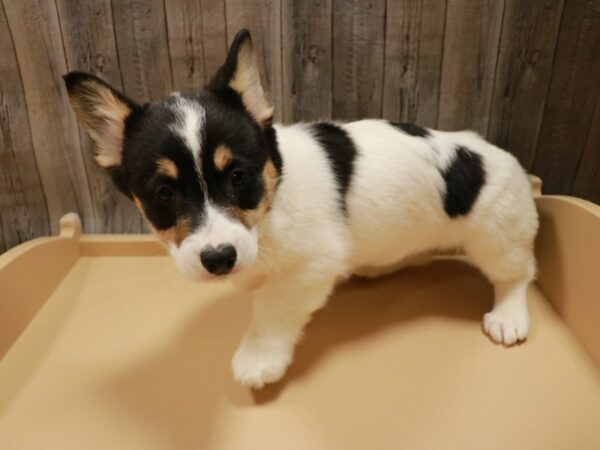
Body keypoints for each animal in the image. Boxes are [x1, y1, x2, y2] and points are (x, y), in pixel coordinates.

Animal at [64, 29, 540, 386]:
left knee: (517, 273)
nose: (219, 259)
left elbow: (271, 311)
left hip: (497, 235)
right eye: (165, 193)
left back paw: (508, 315)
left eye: (238, 176)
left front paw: (258, 358)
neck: (271, 204)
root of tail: (508, 162)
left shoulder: (309, 268)